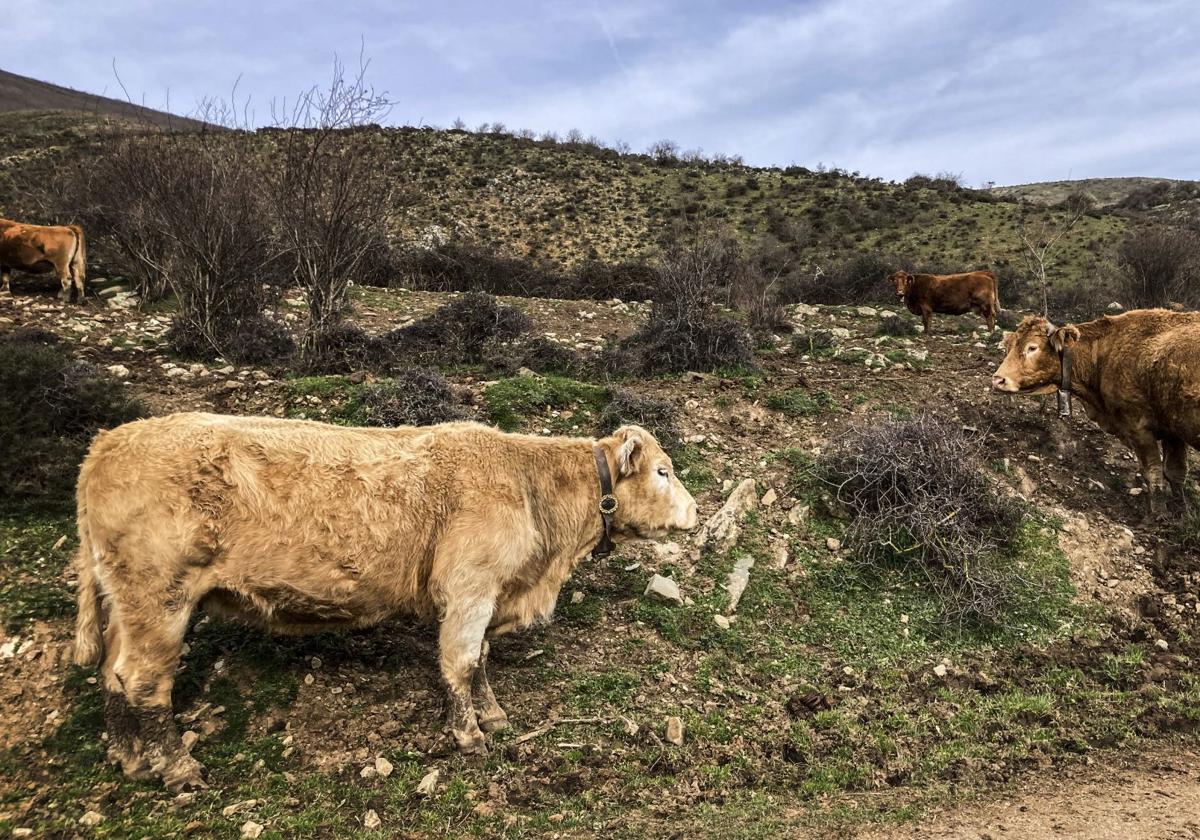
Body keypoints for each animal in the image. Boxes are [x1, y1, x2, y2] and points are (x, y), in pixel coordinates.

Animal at [70, 415, 700, 792]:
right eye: (663, 471)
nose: (697, 511)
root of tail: (107, 443)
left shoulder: (490, 595)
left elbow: (481, 662)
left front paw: (494, 716)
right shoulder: (470, 590)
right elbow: (461, 663)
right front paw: (470, 737)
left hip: (128, 601)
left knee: (113, 673)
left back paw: (129, 757)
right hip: (159, 597)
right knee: (144, 683)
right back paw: (178, 769)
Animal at [988, 309, 1200, 518]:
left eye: (1032, 348)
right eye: (1010, 346)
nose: (998, 379)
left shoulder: (1137, 426)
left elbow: (1153, 472)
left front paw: (1159, 515)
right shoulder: (1172, 431)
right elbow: (1175, 472)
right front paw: (1183, 514)